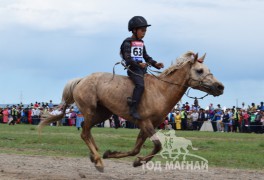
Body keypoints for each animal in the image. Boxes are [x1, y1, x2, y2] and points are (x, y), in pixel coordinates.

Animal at [38, 50, 224, 172]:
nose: (220, 87)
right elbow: (157, 146)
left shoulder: (148, 126)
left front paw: (117, 155)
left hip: (103, 113)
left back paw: (95, 154)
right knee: (84, 132)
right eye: (199, 70)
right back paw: (98, 161)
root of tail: (81, 79)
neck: (161, 91)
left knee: (86, 129)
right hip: (90, 110)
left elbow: (137, 149)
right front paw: (137, 161)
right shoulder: (145, 122)